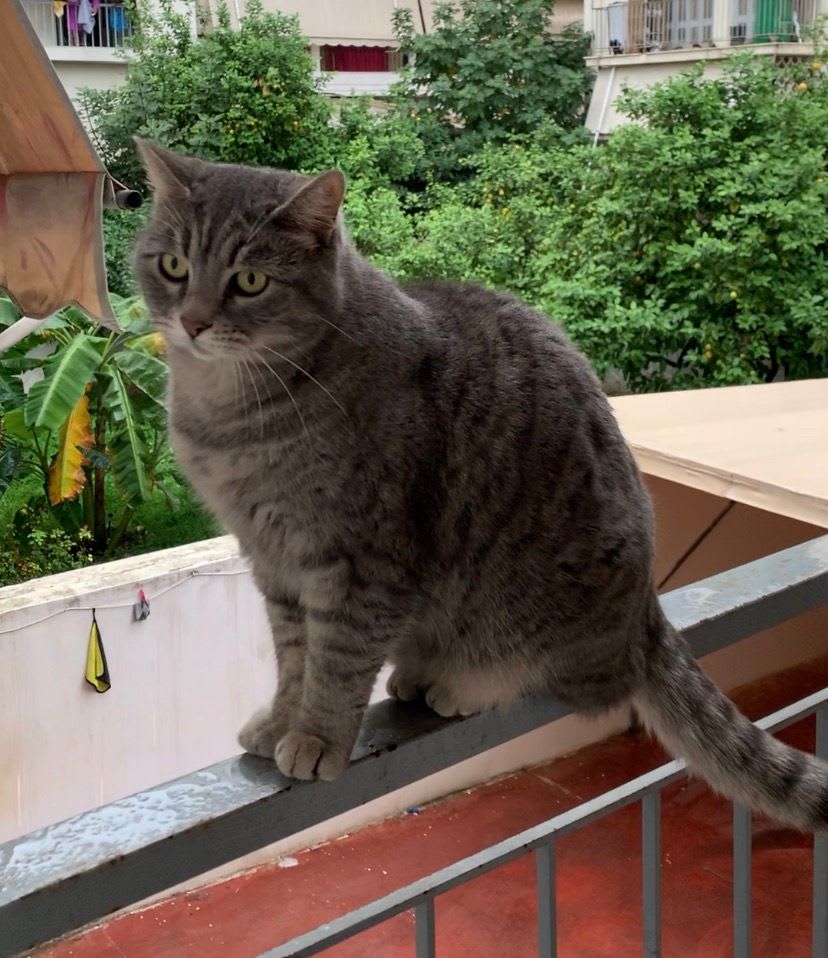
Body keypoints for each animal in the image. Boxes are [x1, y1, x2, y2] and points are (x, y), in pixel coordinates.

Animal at [135, 140, 828, 831]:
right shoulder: (273, 561)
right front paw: (283, 720)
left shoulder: (364, 563)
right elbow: (293, 657)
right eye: (173, 265)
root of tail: (645, 619)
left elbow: (335, 662)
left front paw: (317, 737)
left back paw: (461, 684)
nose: (193, 323)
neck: (231, 413)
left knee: (569, 680)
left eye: (249, 281)